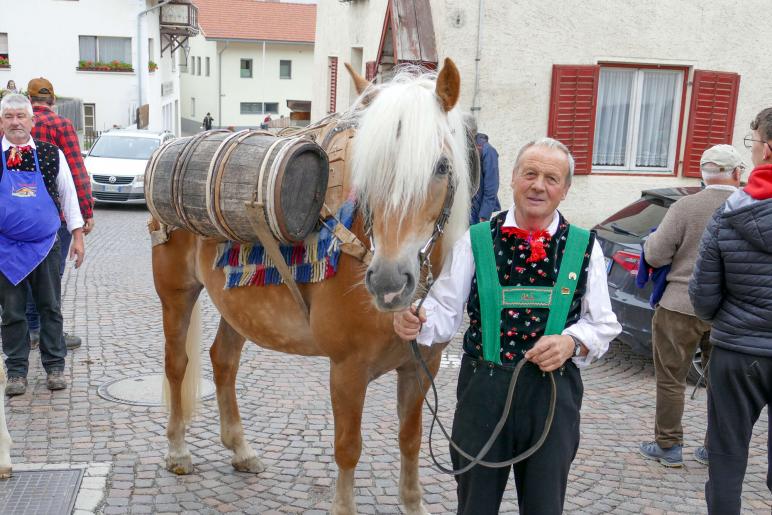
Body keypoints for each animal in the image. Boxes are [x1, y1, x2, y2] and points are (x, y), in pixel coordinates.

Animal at [152, 58, 474, 512]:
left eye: (442, 167)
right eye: (366, 168)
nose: (389, 281)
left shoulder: (419, 367)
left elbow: (410, 440)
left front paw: (413, 502)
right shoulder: (347, 371)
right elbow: (348, 448)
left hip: (238, 307)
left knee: (223, 361)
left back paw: (240, 448)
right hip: (176, 293)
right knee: (176, 364)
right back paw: (178, 450)